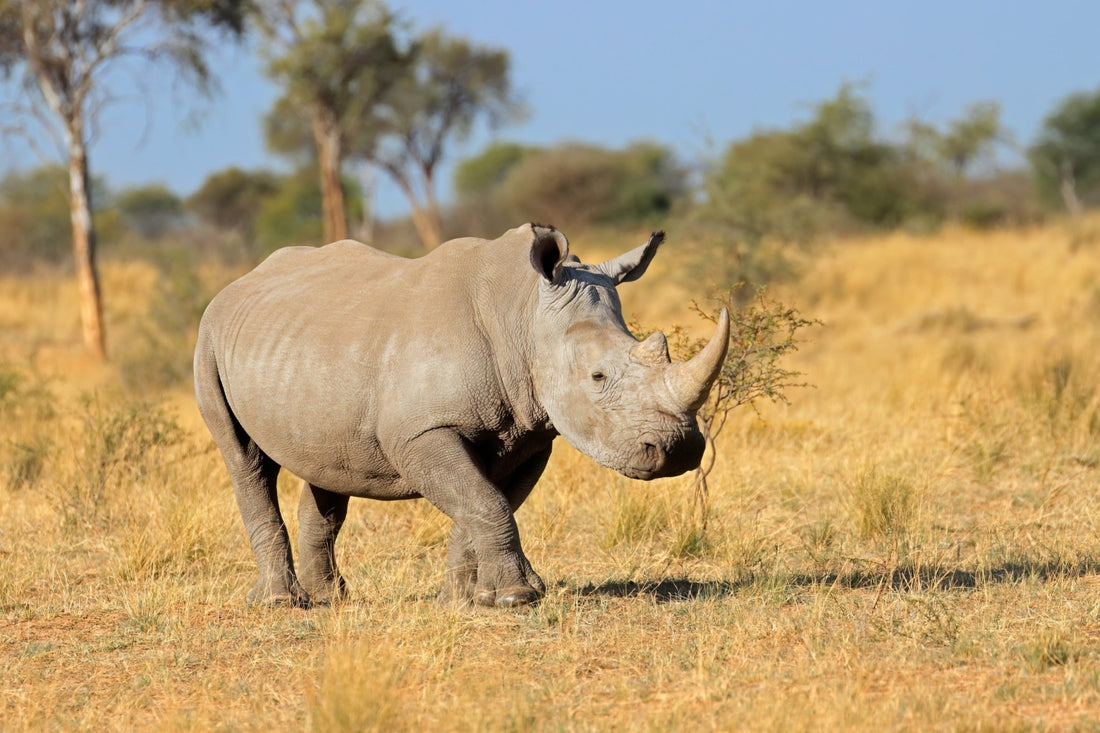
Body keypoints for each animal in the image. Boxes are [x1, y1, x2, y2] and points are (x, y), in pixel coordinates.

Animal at [193, 221, 726, 603]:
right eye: (597, 377)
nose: (680, 450)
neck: (522, 315)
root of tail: (240, 283)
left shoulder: (530, 434)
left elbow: (487, 502)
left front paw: (466, 599)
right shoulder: (421, 432)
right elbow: (484, 501)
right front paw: (516, 597)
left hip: (306, 348)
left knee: (327, 467)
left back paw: (330, 599)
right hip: (210, 338)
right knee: (245, 460)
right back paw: (280, 603)